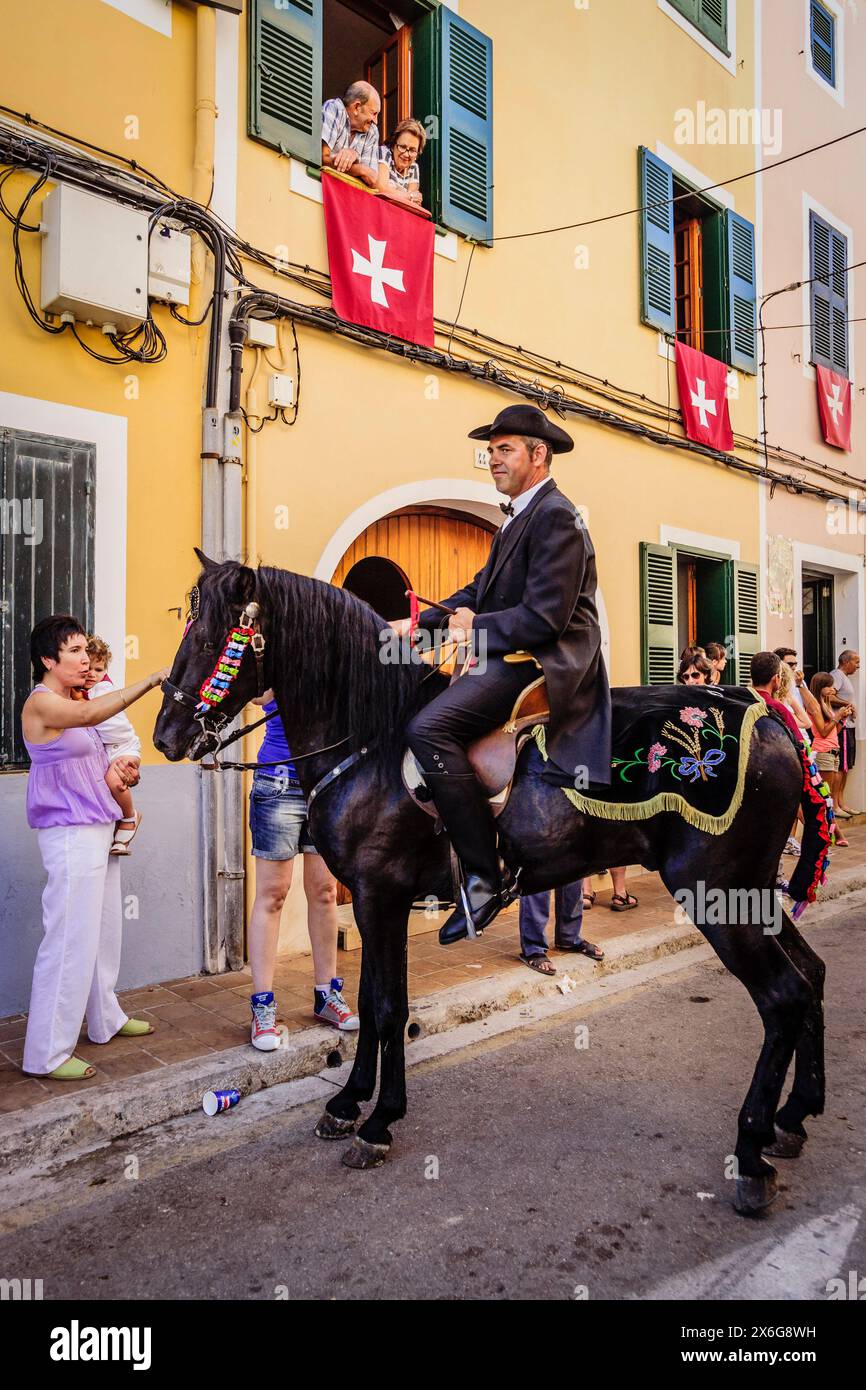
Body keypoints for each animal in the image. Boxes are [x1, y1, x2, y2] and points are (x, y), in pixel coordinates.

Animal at [154, 553, 828, 1217]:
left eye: (212, 638)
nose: (166, 733)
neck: (371, 741)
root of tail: (769, 716)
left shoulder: (379, 896)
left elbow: (386, 1007)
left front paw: (378, 1122)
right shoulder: (375, 900)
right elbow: (372, 1003)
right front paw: (350, 1103)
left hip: (718, 896)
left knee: (783, 997)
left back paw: (751, 1152)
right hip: (750, 891)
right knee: (811, 975)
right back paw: (794, 1118)